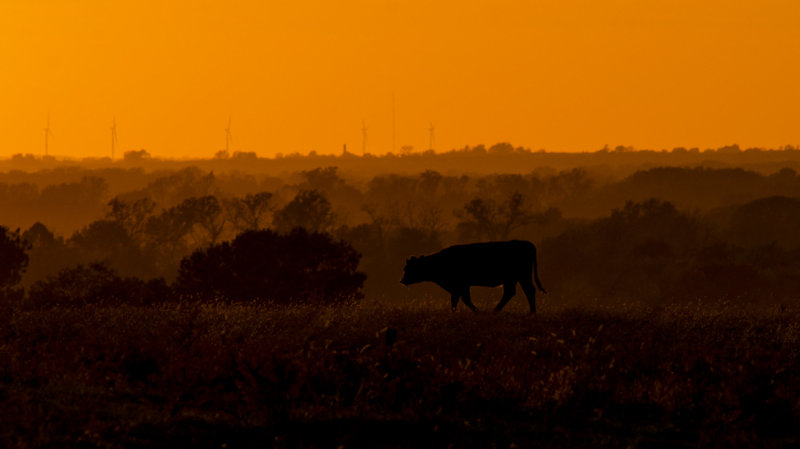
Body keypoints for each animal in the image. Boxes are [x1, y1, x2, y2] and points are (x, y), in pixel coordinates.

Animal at [404, 242, 548, 312]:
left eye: (409, 268)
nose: (402, 280)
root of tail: (529, 244)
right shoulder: (460, 287)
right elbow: (457, 300)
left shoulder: (461, 285)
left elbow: (463, 299)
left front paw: (477, 310)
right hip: (515, 279)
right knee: (515, 292)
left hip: (520, 277)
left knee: (525, 291)